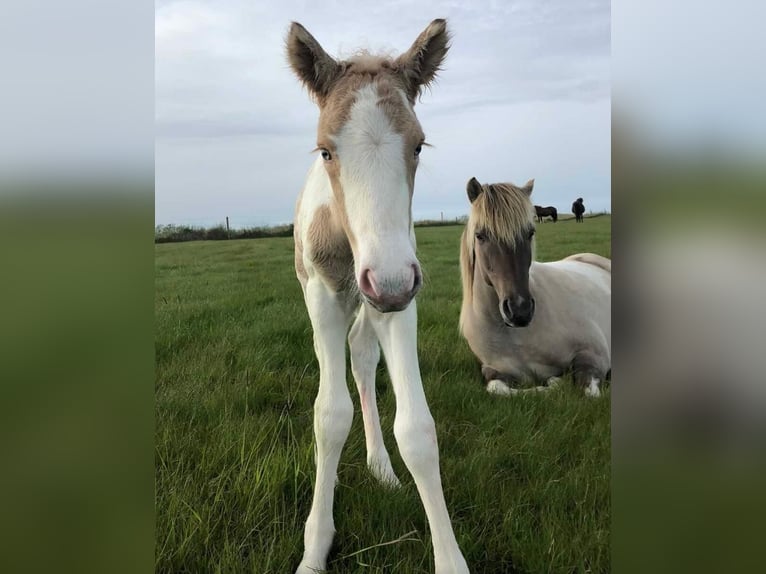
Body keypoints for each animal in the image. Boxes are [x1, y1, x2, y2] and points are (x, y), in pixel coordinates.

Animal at [286, 20, 468, 572]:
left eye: (419, 146)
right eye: (326, 150)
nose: (385, 284)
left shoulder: (402, 294)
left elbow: (418, 430)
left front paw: (450, 558)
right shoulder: (325, 296)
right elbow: (329, 416)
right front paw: (315, 548)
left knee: (364, 355)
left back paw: (380, 467)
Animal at [460, 178, 616, 398]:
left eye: (530, 233)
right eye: (480, 236)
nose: (520, 310)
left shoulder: (594, 355)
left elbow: (587, 391)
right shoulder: (492, 370)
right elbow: (498, 388)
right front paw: (554, 382)